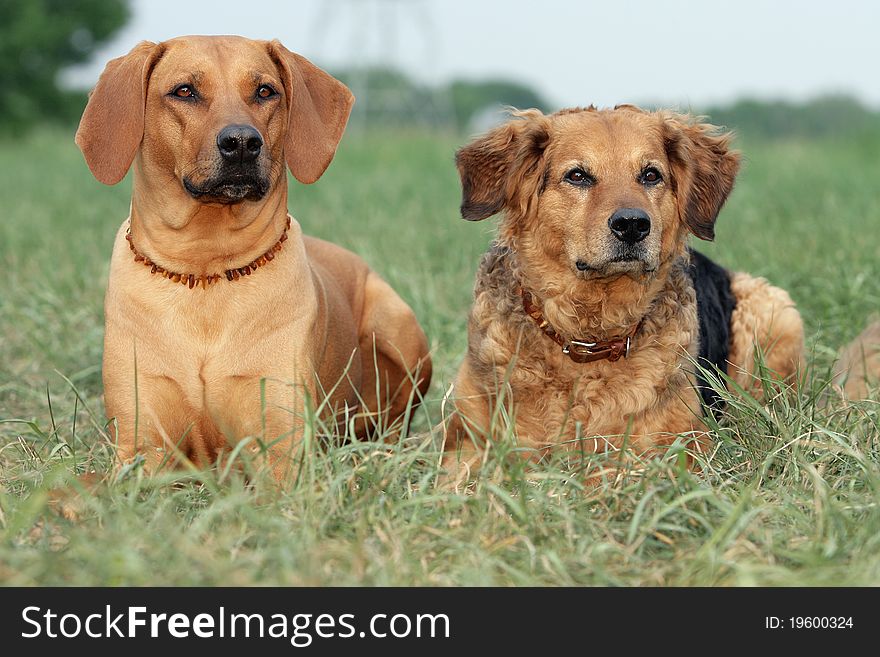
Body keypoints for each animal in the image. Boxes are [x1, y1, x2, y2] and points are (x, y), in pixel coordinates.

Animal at [75, 37, 434, 482]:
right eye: (184, 91)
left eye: (265, 91)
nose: (243, 143)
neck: (206, 269)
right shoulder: (139, 448)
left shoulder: (283, 450)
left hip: (398, 328)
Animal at [446, 104, 804, 482]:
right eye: (578, 176)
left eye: (650, 175)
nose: (632, 224)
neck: (588, 339)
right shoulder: (465, 440)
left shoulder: (682, 445)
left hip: (776, 314)